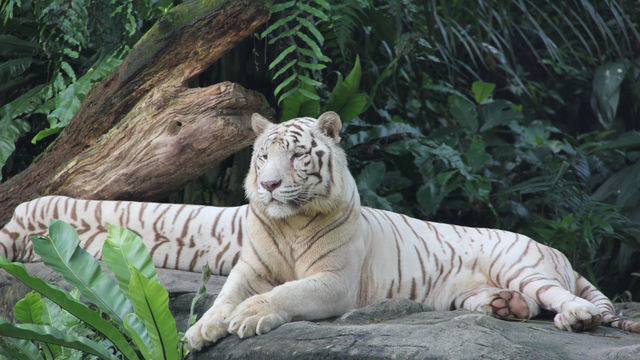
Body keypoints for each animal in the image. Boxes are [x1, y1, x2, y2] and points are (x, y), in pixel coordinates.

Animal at [0, 112, 636, 352]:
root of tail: (553, 248)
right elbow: (223, 298)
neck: (285, 225)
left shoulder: (332, 282)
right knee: (520, 303)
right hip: (471, 290)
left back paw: (576, 319)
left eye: (298, 156)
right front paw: (201, 331)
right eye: (262, 156)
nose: (270, 185)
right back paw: (504, 309)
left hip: (523, 263)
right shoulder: (246, 267)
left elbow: (282, 294)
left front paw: (247, 320)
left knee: (562, 299)